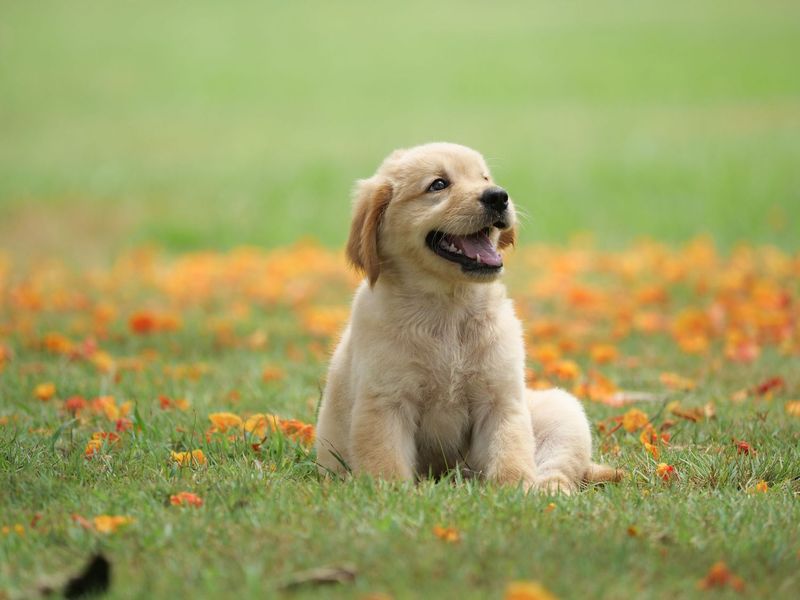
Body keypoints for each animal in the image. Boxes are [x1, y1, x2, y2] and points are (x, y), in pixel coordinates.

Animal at [314, 144, 620, 492]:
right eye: (438, 184)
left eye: (484, 178)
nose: (499, 196)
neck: (449, 308)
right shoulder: (385, 402)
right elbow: (385, 463)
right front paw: (394, 494)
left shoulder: (501, 399)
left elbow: (510, 453)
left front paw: (515, 492)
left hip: (562, 411)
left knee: (559, 469)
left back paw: (550, 491)